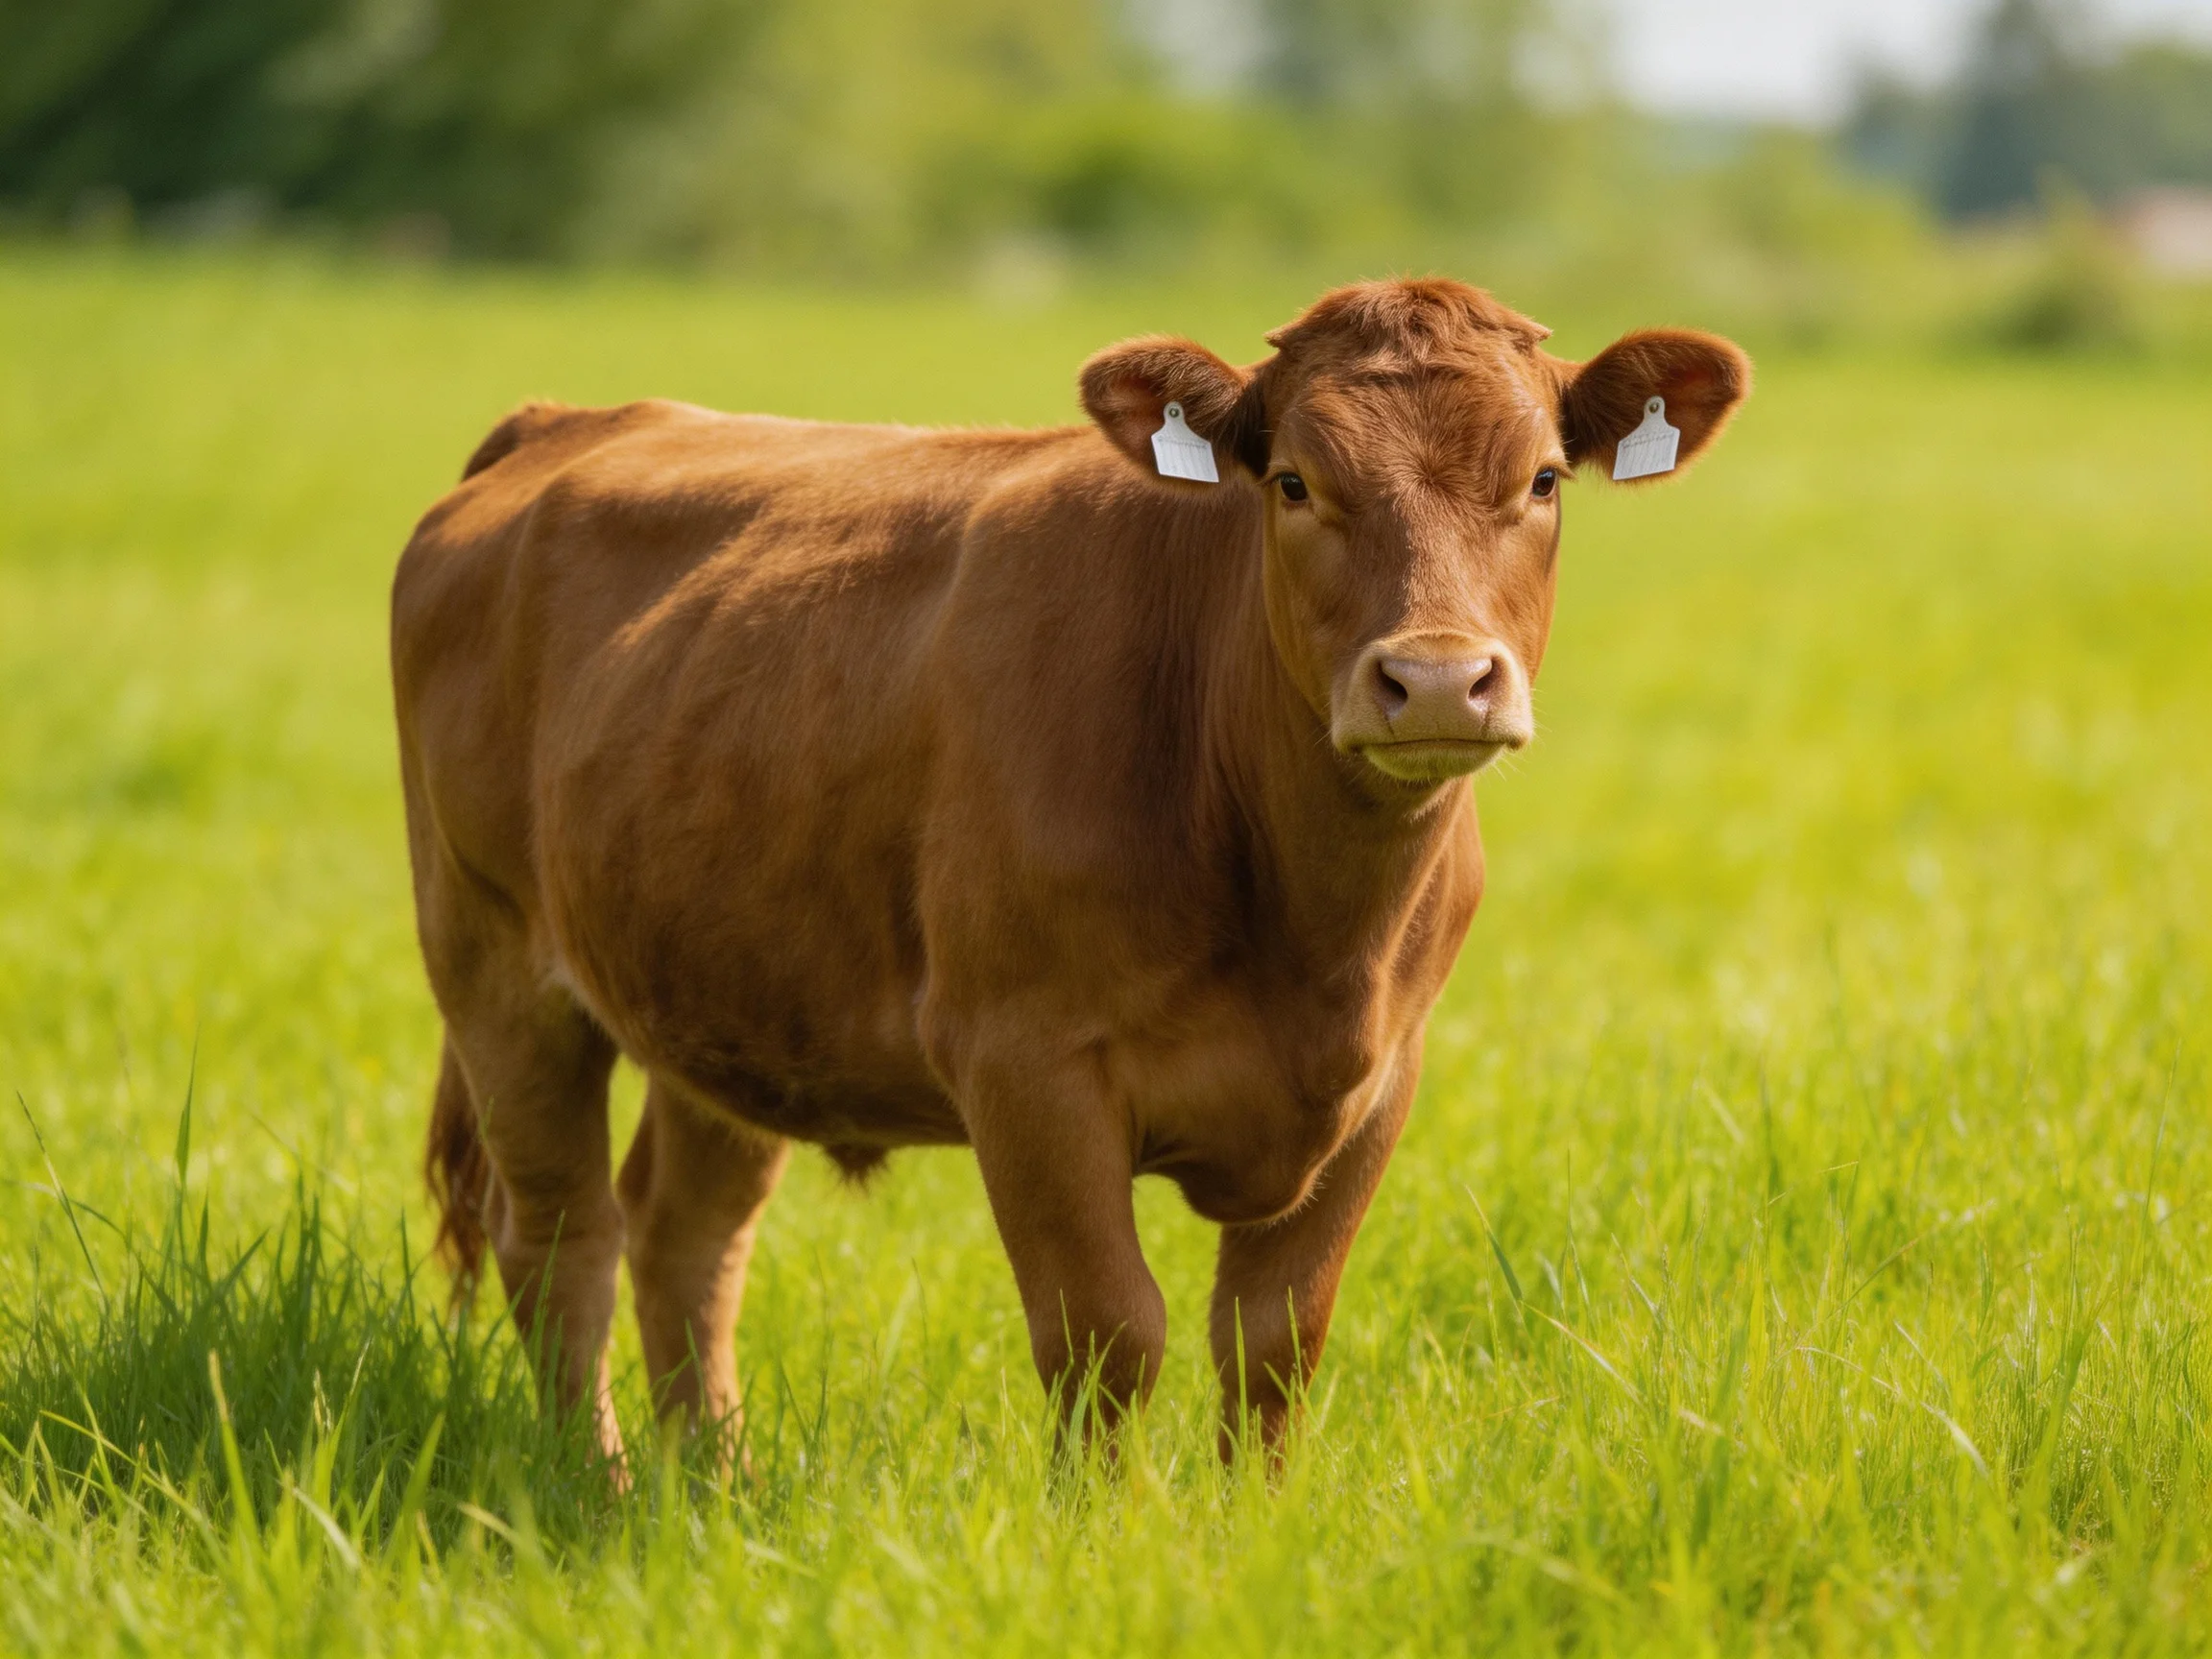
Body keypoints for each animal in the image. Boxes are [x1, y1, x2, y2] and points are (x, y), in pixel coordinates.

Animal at [391, 278, 1748, 1463]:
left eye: (1542, 478)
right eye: (1296, 482)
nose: (1434, 678)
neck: (1311, 929)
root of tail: (573, 421)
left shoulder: (1383, 1078)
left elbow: (1274, 1342)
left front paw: (1252, 1533)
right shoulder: (1024, 1061)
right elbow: (1108, 1334)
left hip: (726, 992)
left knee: (685, 1236)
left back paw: (710, 1483)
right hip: (494, 963)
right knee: (562, 1236)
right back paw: (600, 1483)